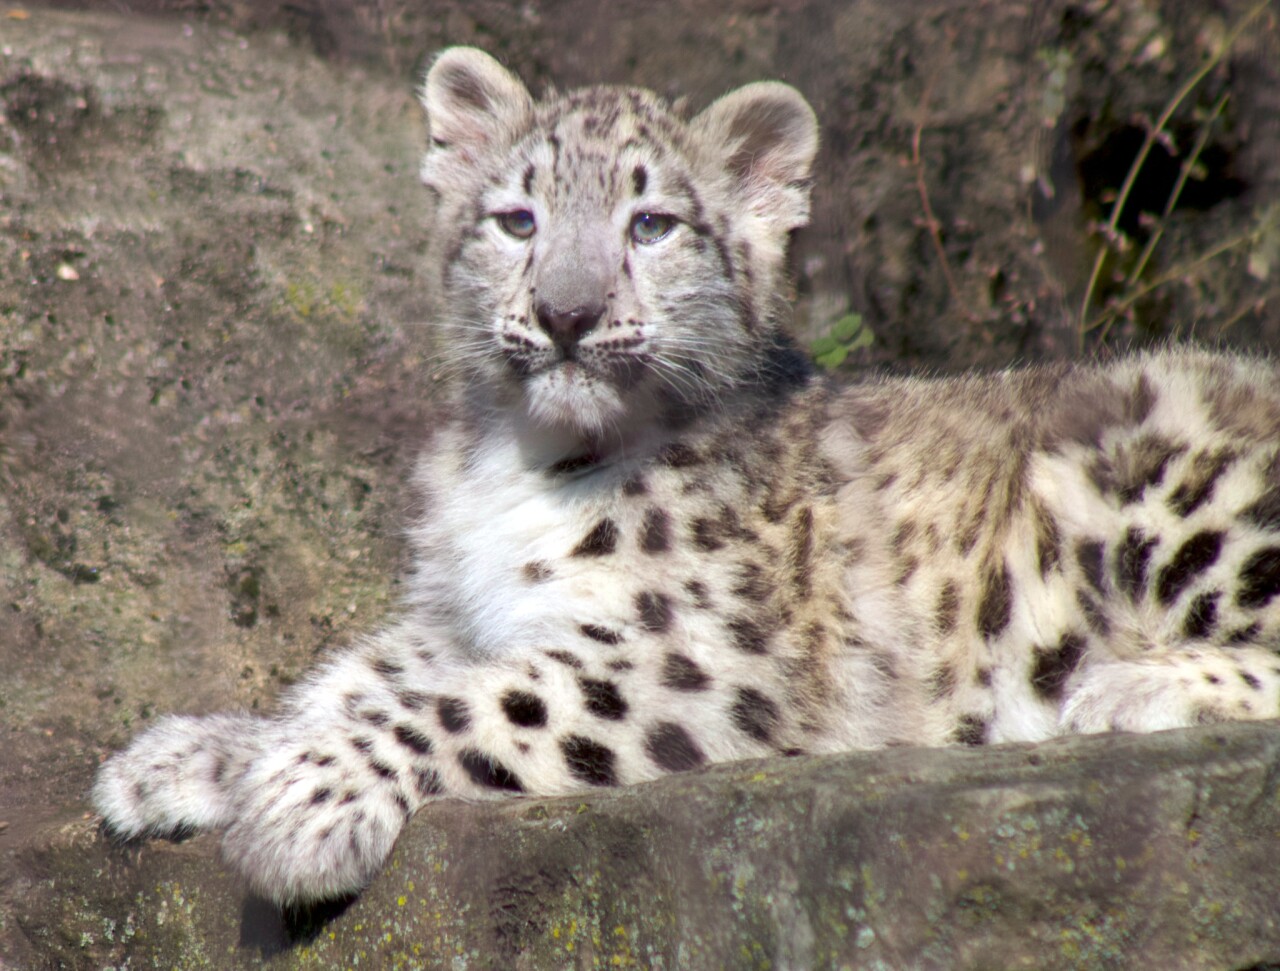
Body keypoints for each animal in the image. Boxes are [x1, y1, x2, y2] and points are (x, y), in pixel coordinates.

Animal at [93, 46, 1280, 906]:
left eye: (652, 222)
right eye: (516, 219)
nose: (566, 314)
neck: (516, 459)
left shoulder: (702, 651)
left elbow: (476, 701)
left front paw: (299, 799)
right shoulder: (463, 611)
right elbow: (364, 674)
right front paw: (189, 756)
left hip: (1167, 475)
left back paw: (1126, 685)